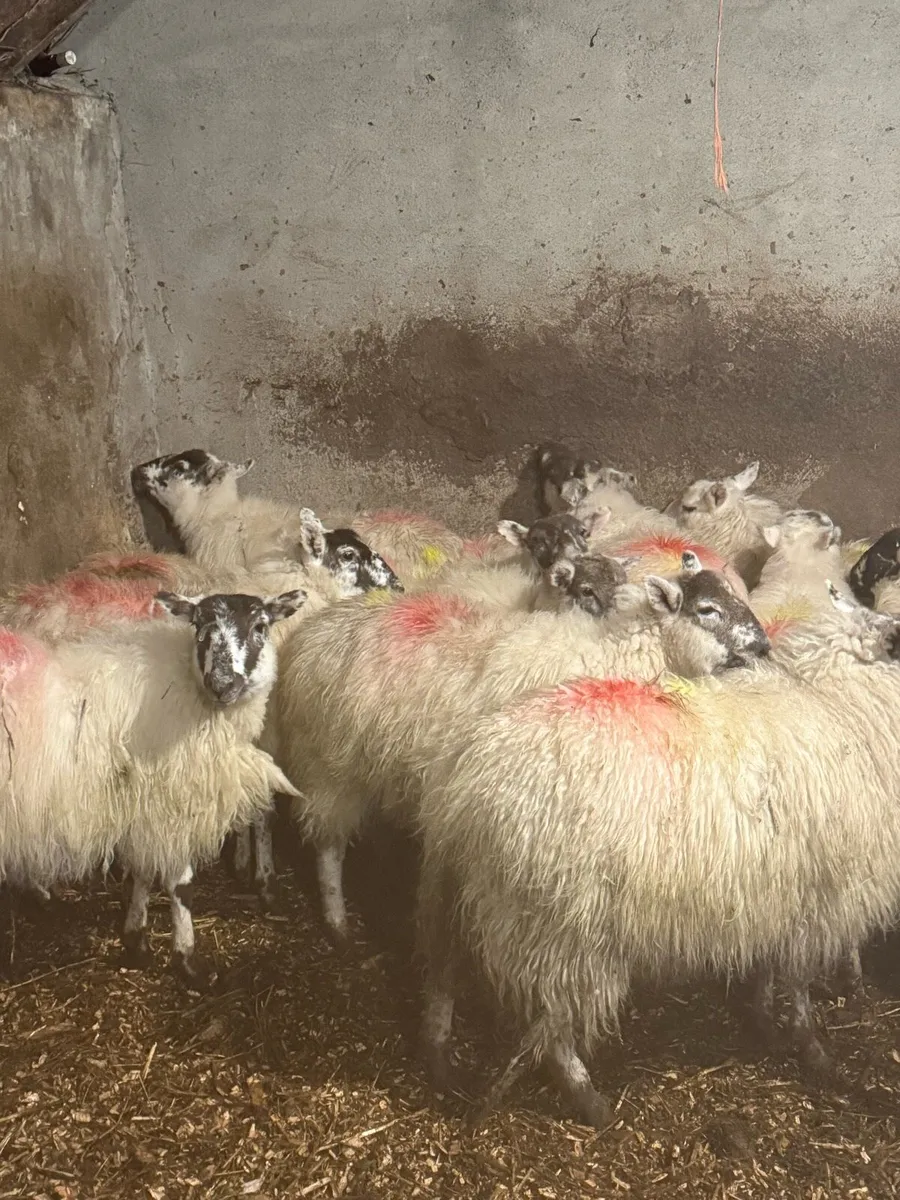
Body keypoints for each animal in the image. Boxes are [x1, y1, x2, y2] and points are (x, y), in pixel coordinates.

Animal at [0, 589, 305, 986]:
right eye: (198, 625)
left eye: (260, 626)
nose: (223, 684)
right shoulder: (168, 803)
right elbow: (181, 884)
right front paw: (188, 959)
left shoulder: (146, 804)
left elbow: (143, 872)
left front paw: (137, 940)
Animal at [269, 552, 768, 946]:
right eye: (707, 609)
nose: (763, 647)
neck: (617, 651)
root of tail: (314, 631)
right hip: (330, 765)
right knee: (328, 846)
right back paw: (337, 920)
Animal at [414, 585, 900, 1128]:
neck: (840, 705)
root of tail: (472, 771)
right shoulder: (826, 894)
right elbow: (798, 980)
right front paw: (811, 1049)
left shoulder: (780, 891)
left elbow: (772, 968)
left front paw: (765, 1023)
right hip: (561, 925)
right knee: (554, 1022)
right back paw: (588, 1098)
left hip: (468, 890)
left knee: (444, 971)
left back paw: (440, 1060)